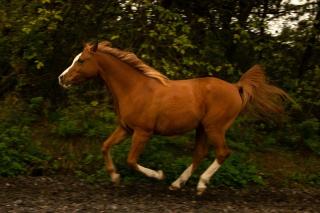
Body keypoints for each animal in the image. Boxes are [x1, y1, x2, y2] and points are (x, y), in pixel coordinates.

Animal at [58, 40, 292, 195]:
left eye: (82, 61)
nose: (62, 78)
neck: (134, 89)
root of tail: (236, 88)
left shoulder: (143, 132)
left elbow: (132, 161)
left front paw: (158, 175)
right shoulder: (125, 128)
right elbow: (105, 146)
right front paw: (115, 177)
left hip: (215, 127)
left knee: (222, 153)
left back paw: (200, 185)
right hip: (202, 128)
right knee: (200, 154)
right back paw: (177, 184)